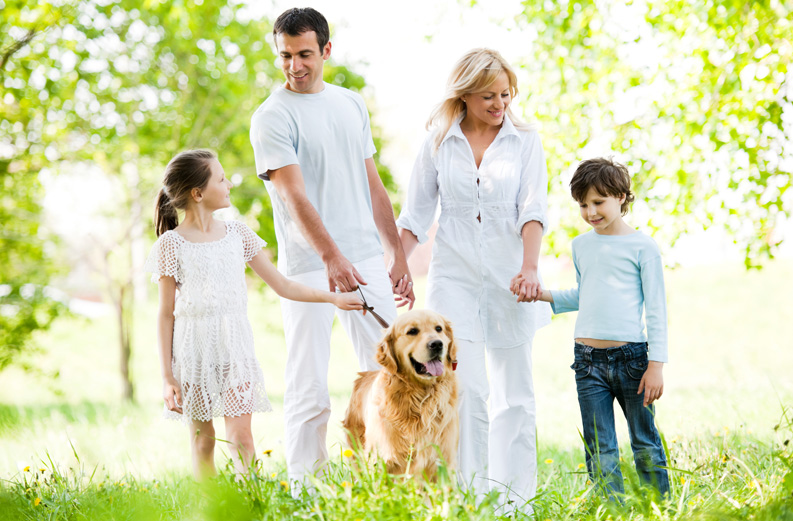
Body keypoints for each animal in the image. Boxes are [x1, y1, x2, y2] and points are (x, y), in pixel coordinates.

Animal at [340, 308, 458, 480]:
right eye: (412, 331)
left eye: (438, 329)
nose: (437, 344)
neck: (420, 398)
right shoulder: (383, 461)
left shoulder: (443, 461)